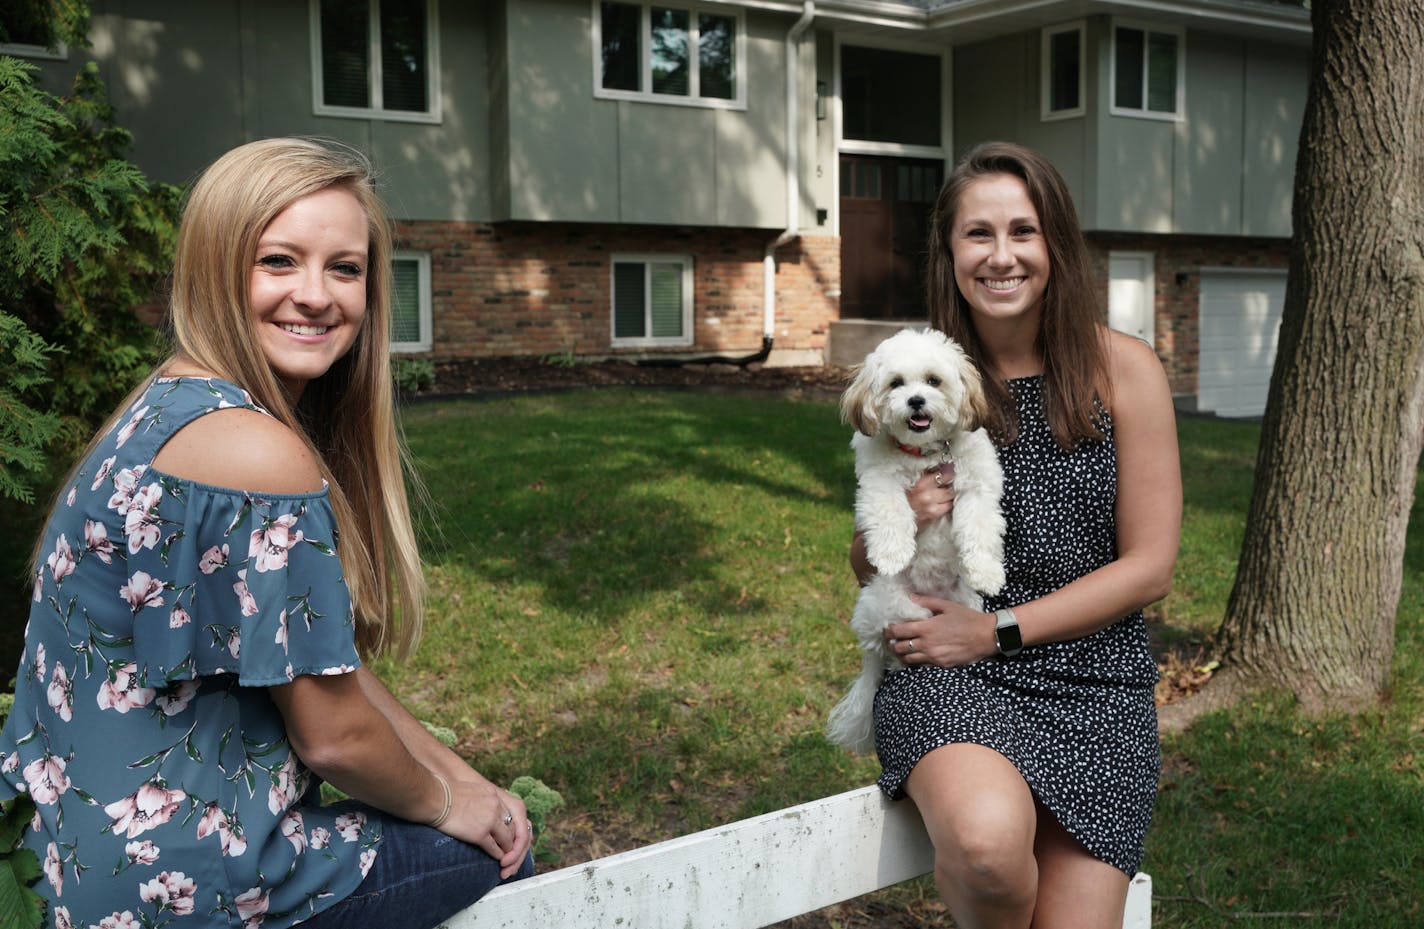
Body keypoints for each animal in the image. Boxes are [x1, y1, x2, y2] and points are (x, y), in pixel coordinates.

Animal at [820, 326, 1008, 752]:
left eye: (933, 381)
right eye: (896, 384)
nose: (916, 400)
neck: (924, 455)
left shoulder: (977, 485)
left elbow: (979, 526)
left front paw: (988, 572)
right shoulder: (878, 482)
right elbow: (890, 512)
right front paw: (891, 554)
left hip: (963, 604)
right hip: (894, 608)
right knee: (897, 649)